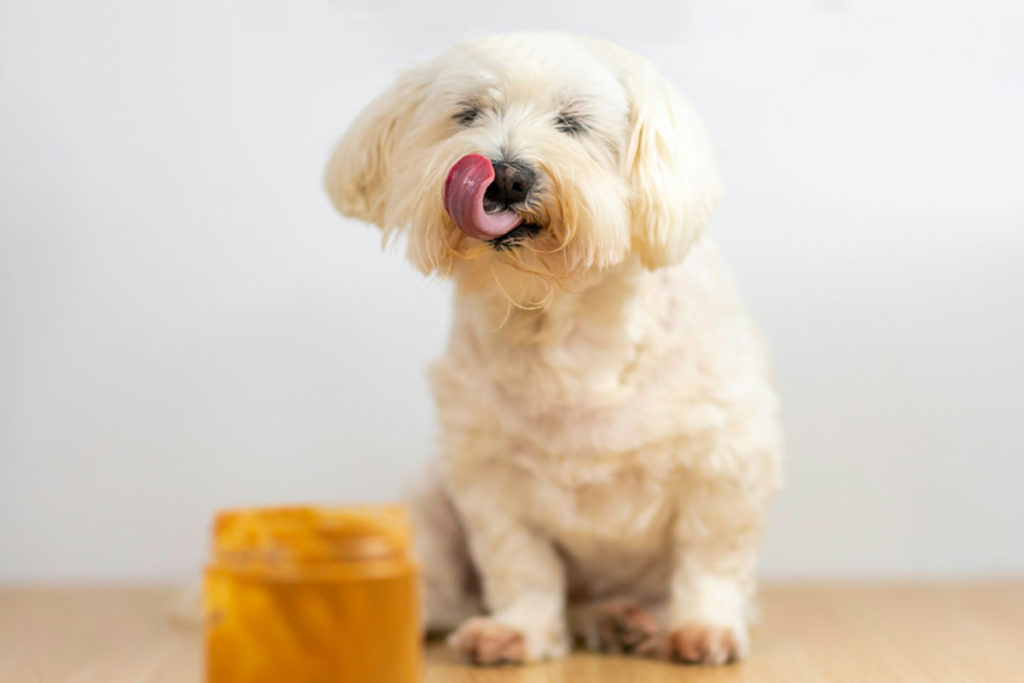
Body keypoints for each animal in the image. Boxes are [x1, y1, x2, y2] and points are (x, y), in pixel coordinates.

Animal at [323, 33, 778, 667]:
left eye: (573, 123)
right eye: (468, 114)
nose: (506, 176)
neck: (562, 320)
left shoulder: (727, 460)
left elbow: (710, 559)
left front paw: (704, 629)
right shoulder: (489, 475)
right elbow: (521, 564)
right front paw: (518, 630)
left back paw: (628, 621)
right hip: (429, 500)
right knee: (442, 587)